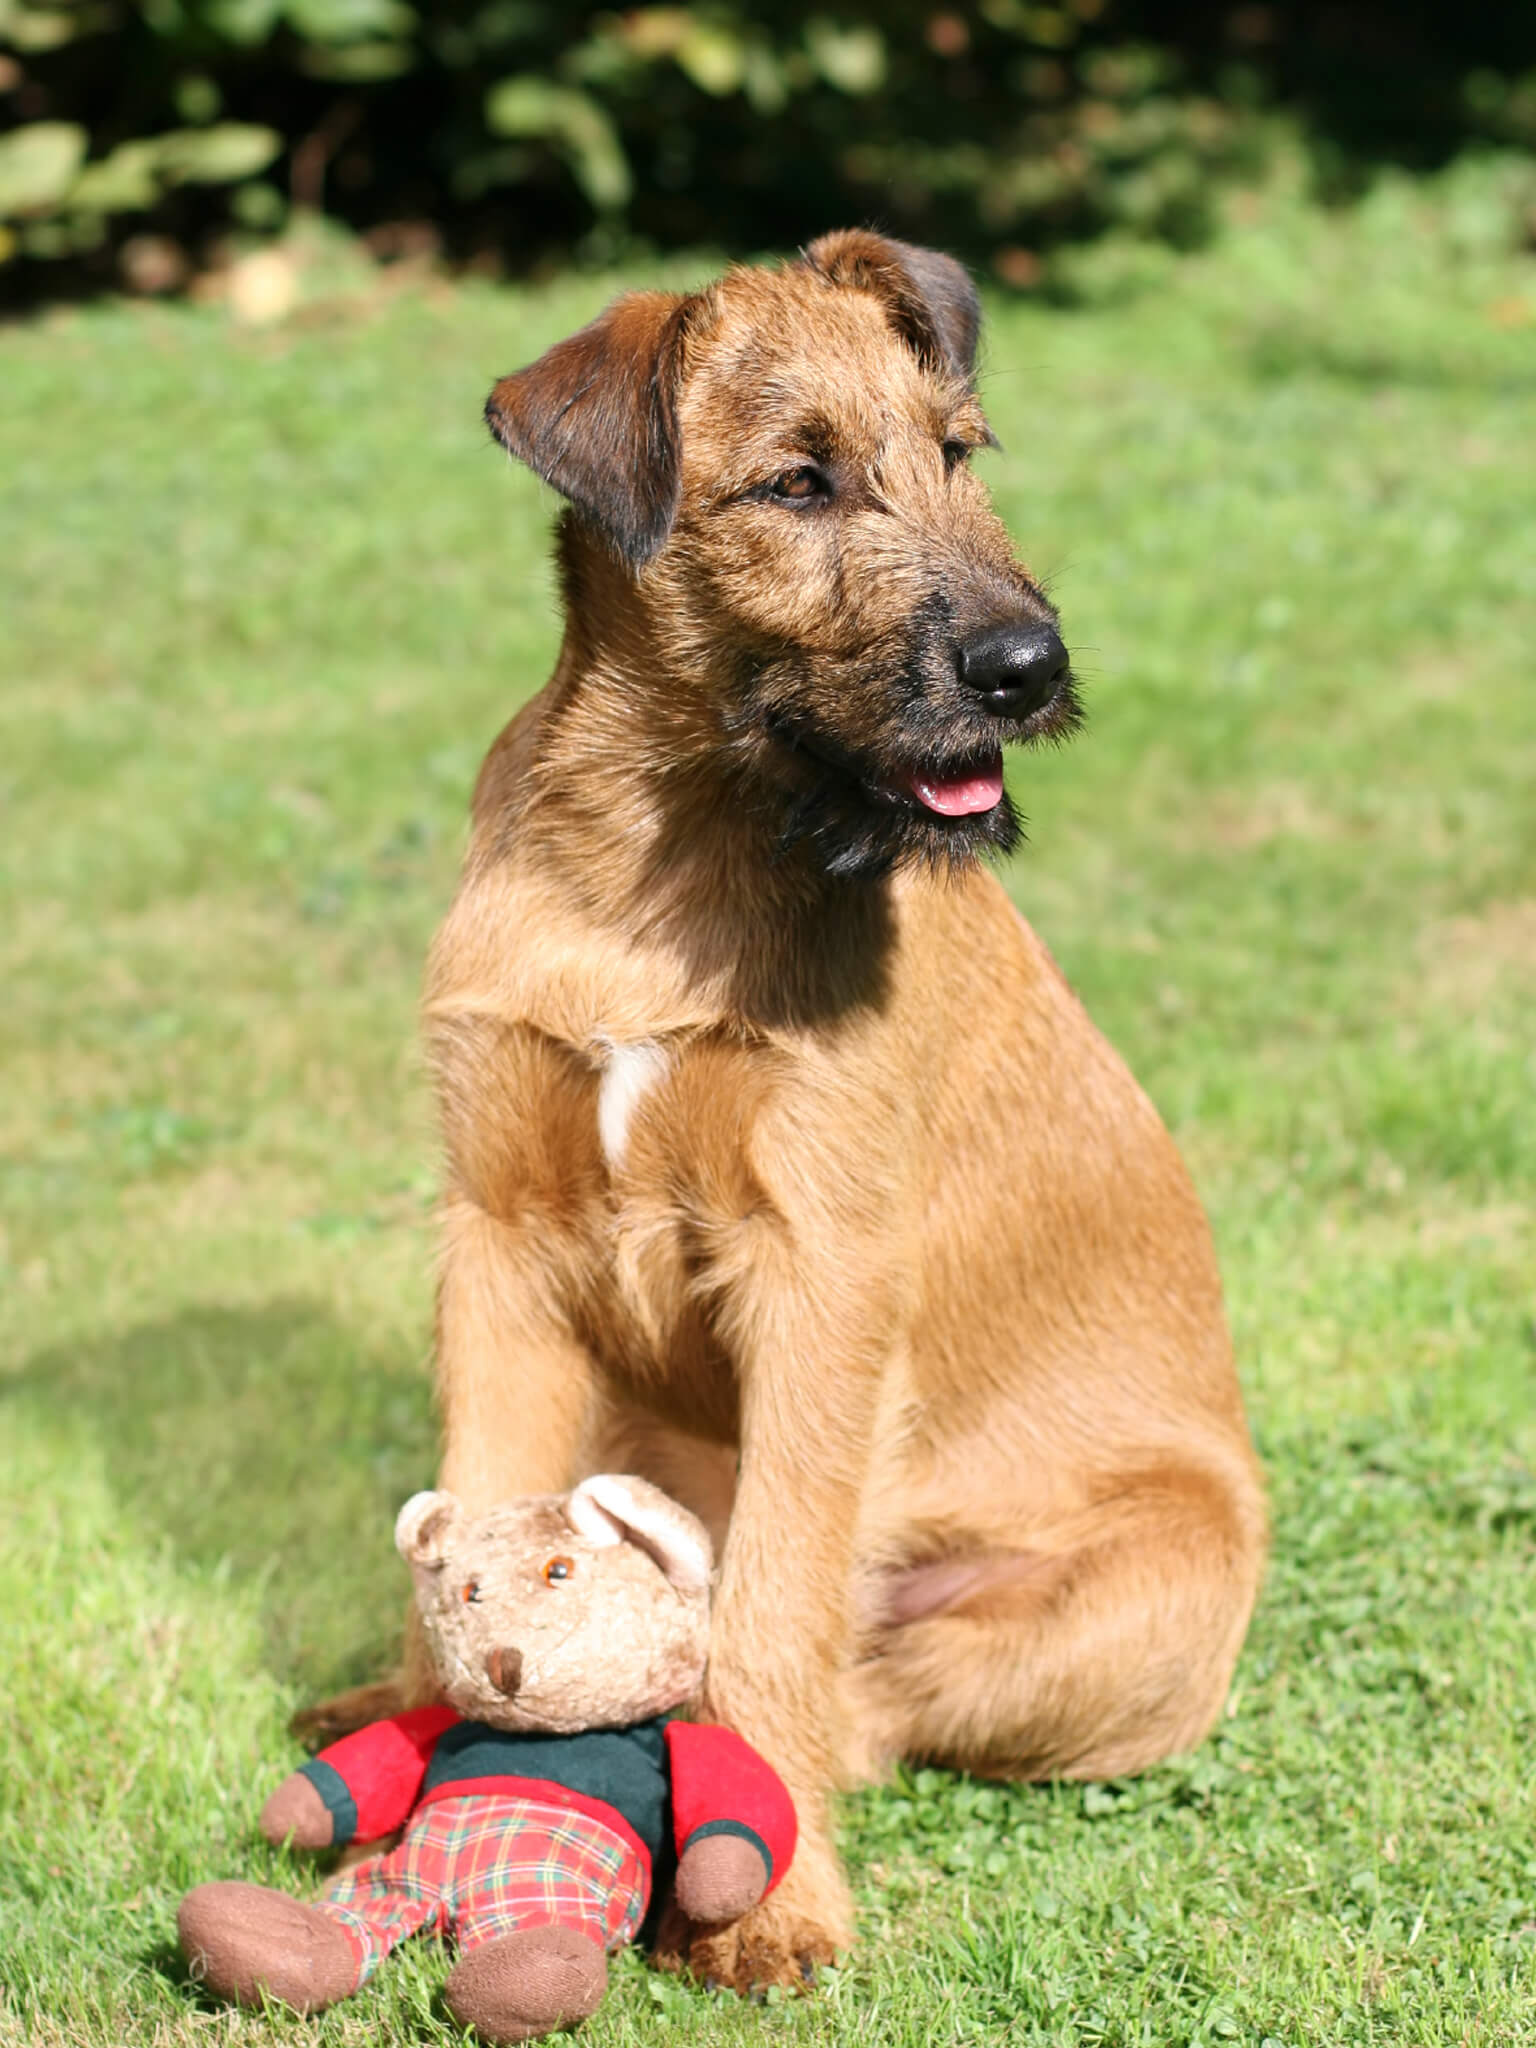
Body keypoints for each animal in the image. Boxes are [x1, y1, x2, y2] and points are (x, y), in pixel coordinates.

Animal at [403, 232, 1269, 1990]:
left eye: (958, 451)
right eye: (796, 483)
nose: (1030, 669)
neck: (657, 871)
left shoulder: (818, 1264)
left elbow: (773, 1611)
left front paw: (771, 1898)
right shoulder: (503, 1241)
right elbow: (480, 1504)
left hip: (1139, 1601)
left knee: (861, 1691)